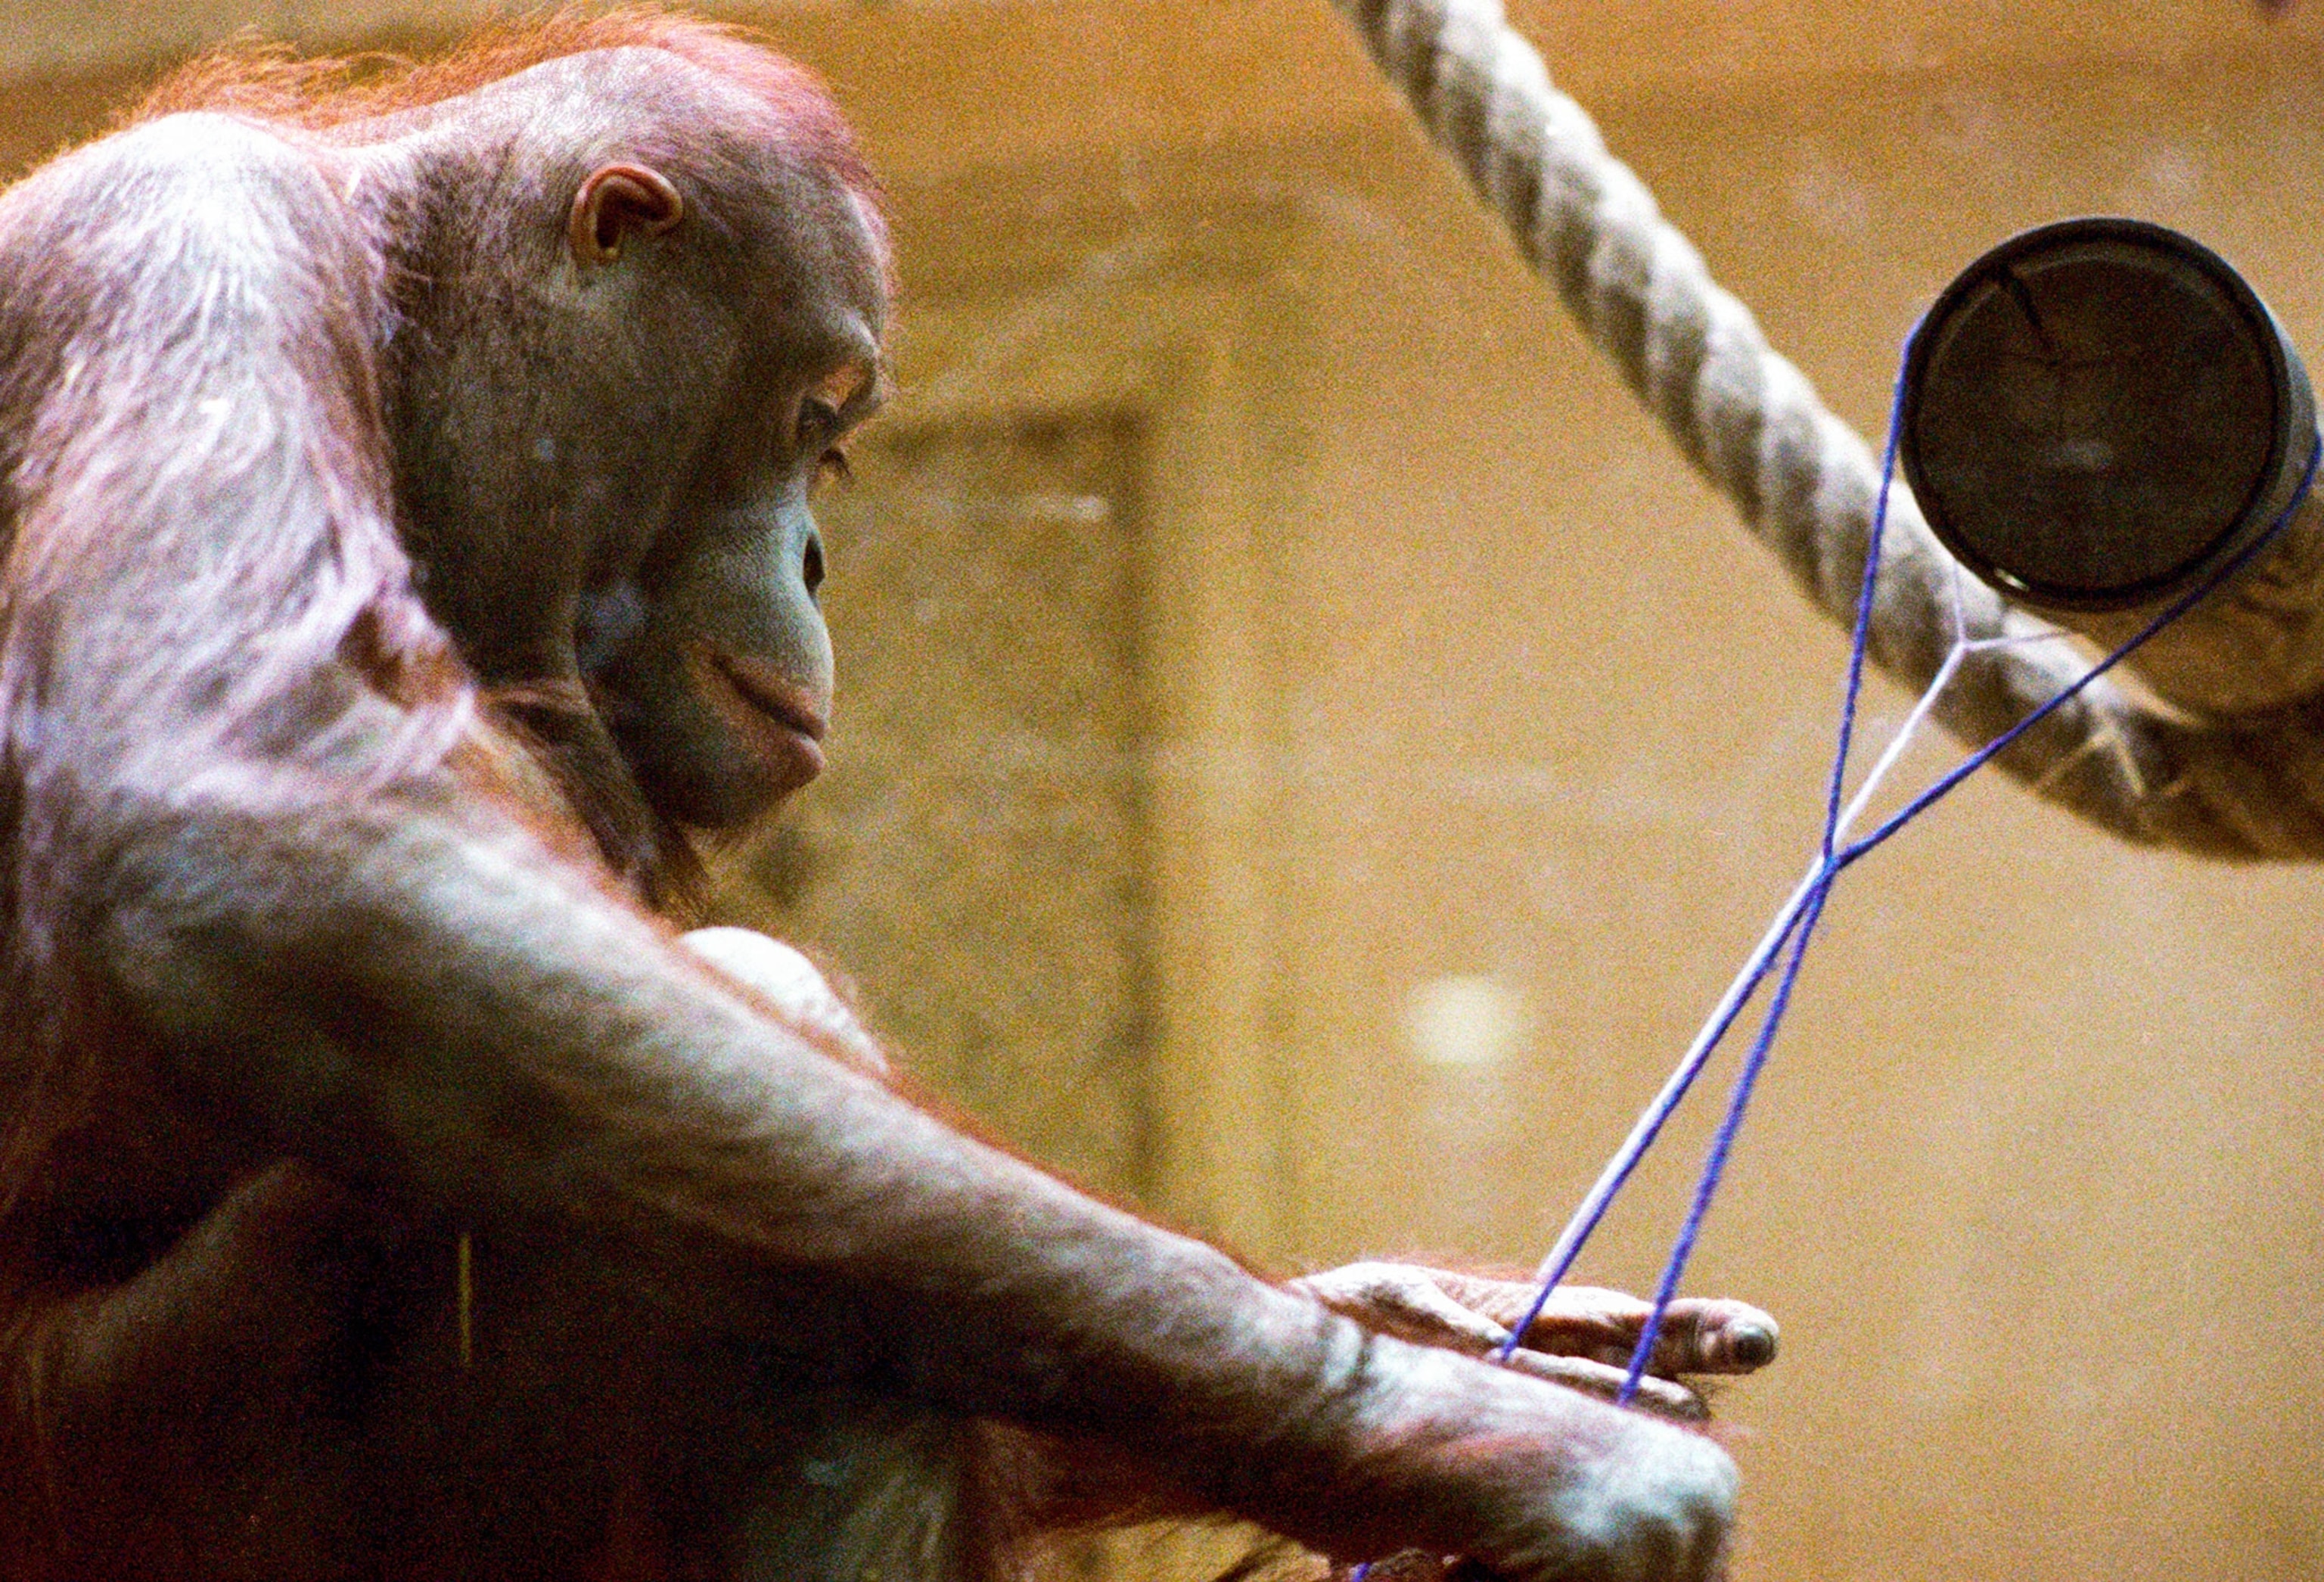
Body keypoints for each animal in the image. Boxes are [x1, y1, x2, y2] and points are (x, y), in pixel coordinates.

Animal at [0, 13, 1766, 1579]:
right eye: (814, 421)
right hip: (154, 1476)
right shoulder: (185, 231)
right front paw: (1465, 1430)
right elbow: (250, 809)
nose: (814, 557)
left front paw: (1417, 1323)